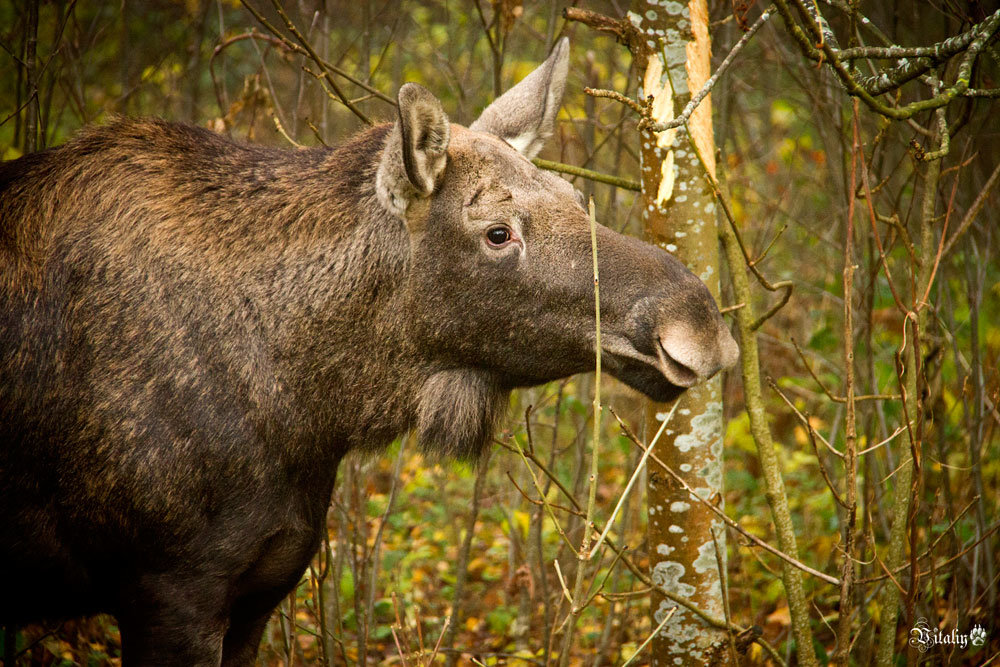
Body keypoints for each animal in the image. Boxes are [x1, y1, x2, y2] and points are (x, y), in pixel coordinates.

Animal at [0, 39, 736, 664]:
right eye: (498, 232)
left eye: (576, 196)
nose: (699, 322)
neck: (307, 408)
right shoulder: (168, 587)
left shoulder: (260, 590)